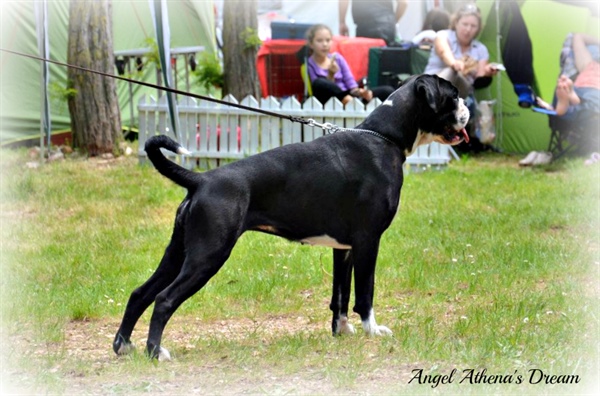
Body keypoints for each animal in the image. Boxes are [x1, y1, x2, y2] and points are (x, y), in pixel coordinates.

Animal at [112, 73, 468, 358]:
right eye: (452, 96)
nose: (467, 108)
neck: (385, 138)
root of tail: (200, 179)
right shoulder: (368, 241)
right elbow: (364, 293)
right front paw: (372, 330)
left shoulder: (344, 248)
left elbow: (340, 295)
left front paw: (342, 332)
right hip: (207, 255)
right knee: (163, 299)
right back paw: (155, 352)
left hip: (178, 253)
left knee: (140, 293)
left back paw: (124, 345)